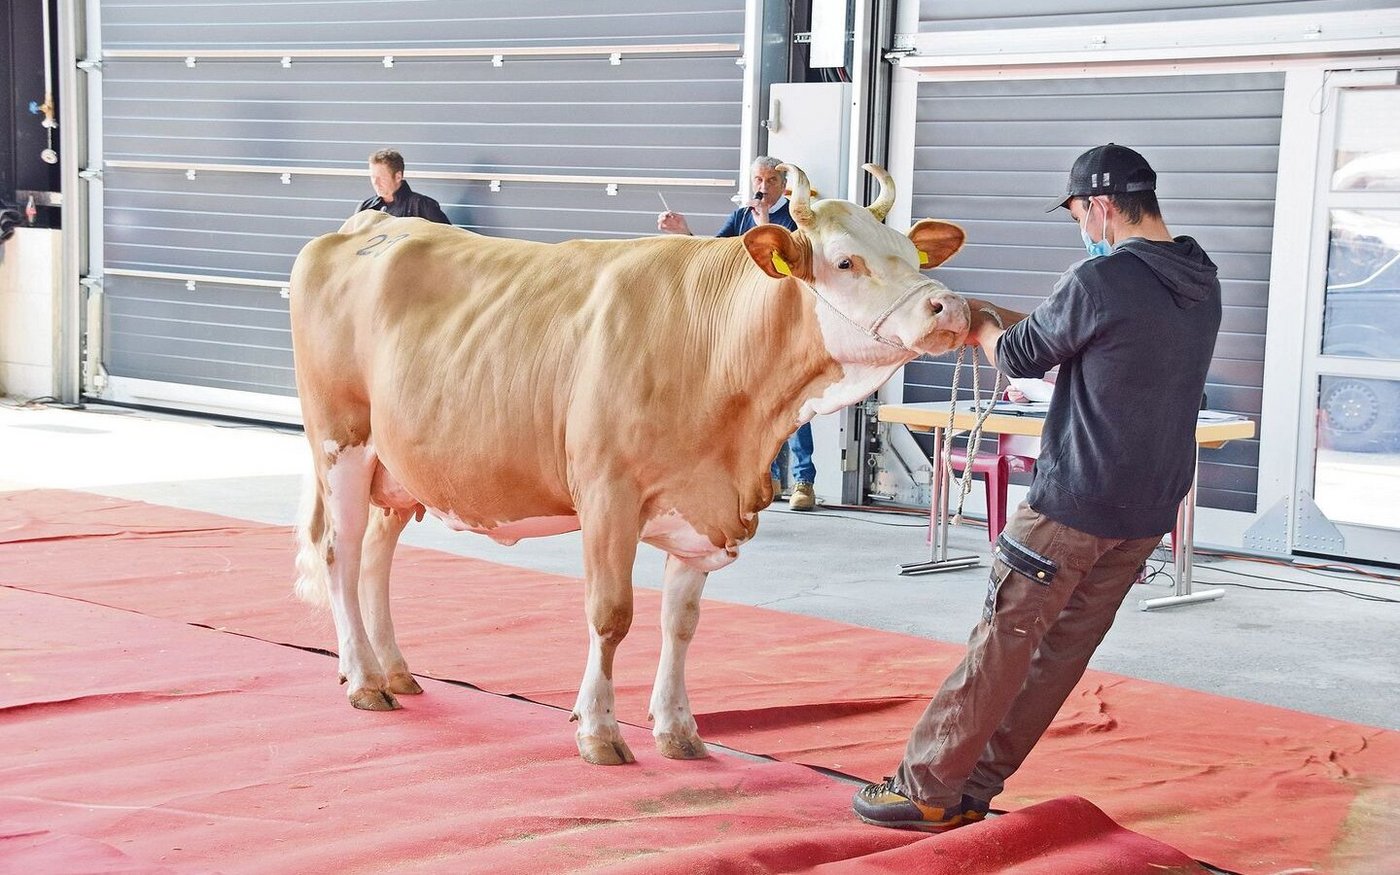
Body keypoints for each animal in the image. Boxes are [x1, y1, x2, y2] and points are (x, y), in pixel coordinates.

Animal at [289, 164, 972, 765]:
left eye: (913, 259)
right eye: (845, 261)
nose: (952, 308)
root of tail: (363, 227)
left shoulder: (701, 508)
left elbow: (682, 623)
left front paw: (678, 729)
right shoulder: (605, 493)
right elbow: (611, 615)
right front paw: (597, 731)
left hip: (397, 467)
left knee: (375, 558)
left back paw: (393, 671)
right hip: (340, 443)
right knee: (339, 553)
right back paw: (362, 680)